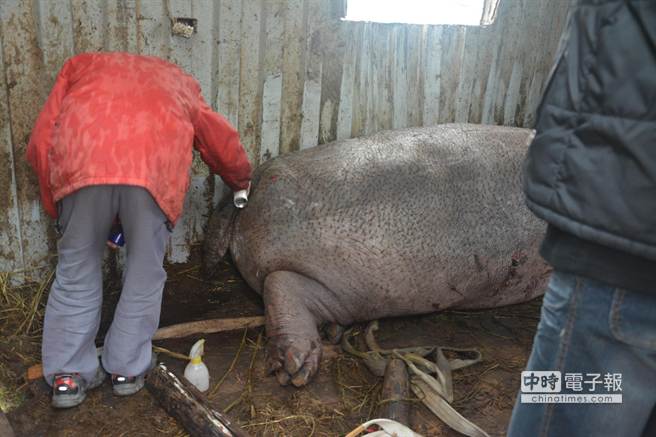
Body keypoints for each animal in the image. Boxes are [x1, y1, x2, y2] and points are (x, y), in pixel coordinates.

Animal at [204, 122, 548, 384]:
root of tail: (256, 180)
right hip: (338, 284)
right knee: (281, 287)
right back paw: (295, 369)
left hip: (341, 292)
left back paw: (320, 343)